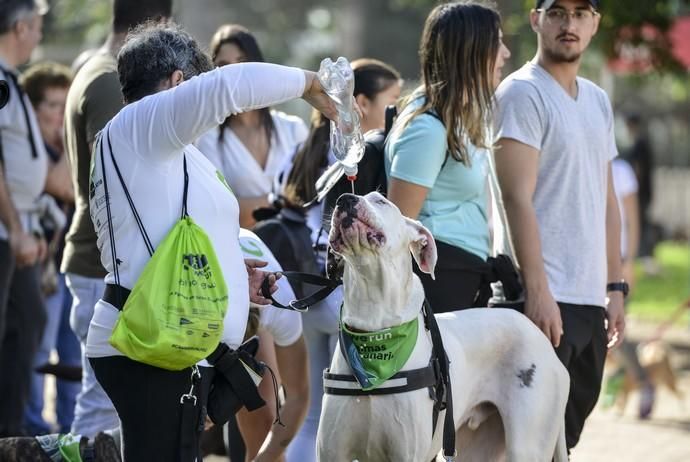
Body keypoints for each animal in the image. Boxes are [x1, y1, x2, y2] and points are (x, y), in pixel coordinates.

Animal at [314, 192, 568, 462]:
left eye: (381, 201)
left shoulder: (407, 455)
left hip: (527, 445)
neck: (375, 330)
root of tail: (543, 341)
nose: (344, 199)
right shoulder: (330, 453)